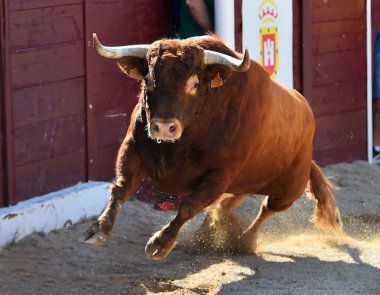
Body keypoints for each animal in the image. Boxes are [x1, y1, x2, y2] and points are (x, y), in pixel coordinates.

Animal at [82, 34, 342, 260]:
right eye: (148, 80)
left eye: (195, 83)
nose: (164, 127)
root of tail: (306, 110)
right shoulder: (132, 149)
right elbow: (120, 188)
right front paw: (98, 229)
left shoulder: (220, 175)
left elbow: (189, 206)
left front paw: (160, 243)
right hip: (243, 184)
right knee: (226, 205)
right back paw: (208, 233)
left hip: (289, 189)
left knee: (266, 209)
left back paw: (244, 241)